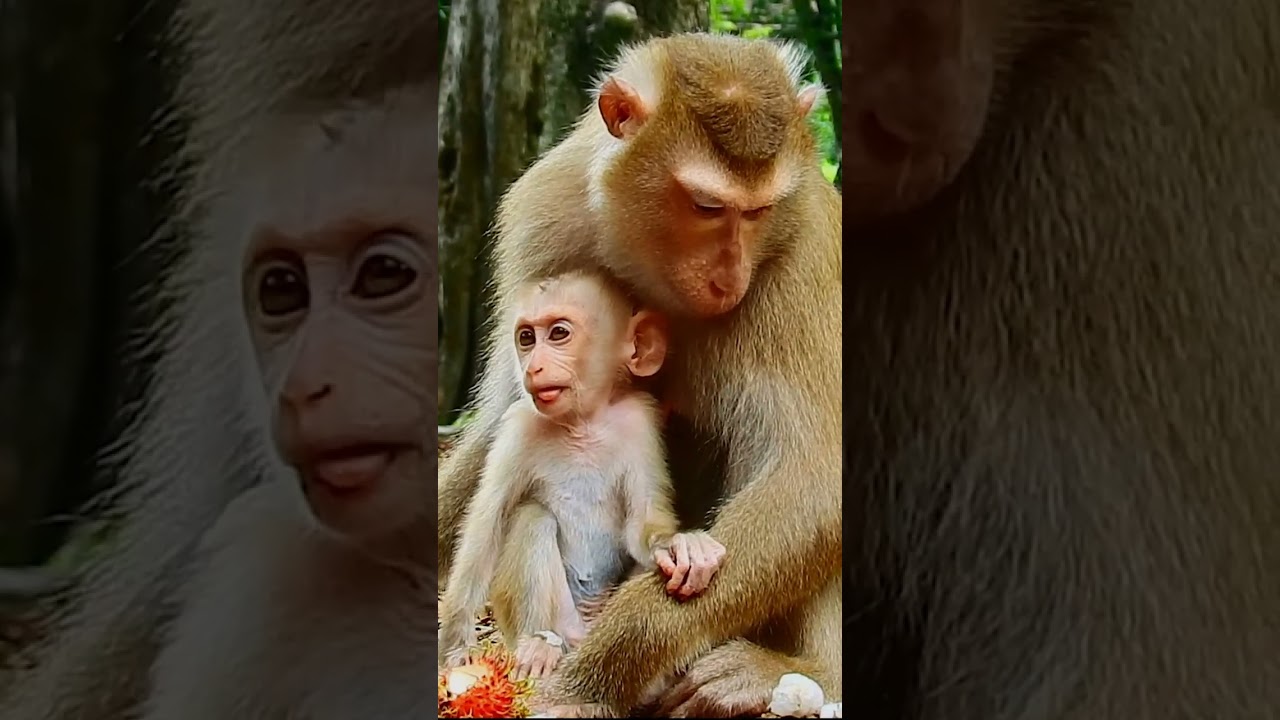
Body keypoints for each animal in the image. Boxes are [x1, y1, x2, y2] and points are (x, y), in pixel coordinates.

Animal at [438, 271, 726, 682]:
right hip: (561, 619)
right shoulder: (519, 428)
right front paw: (455, 645)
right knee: (533, 517)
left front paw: (681, 545)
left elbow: (643, 523)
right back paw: (539, 645)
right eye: (527, 338)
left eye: (559, 334)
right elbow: (487, 526)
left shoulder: (639, 423)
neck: (582, 424)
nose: (533, 366)